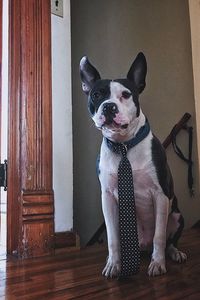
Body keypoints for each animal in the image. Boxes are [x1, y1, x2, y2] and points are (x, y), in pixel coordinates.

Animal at [79, 52, 187, 278]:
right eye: (96, 95)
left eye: (126, 94)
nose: (109, 106)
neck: (124, 145)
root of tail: (142, 248)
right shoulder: (108, 198)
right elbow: (112, 239)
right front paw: (114, 264)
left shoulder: (161, 195)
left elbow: (159, 236)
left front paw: (157, 264)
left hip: (176, 215)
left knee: (169, 241)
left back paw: (174, 253)